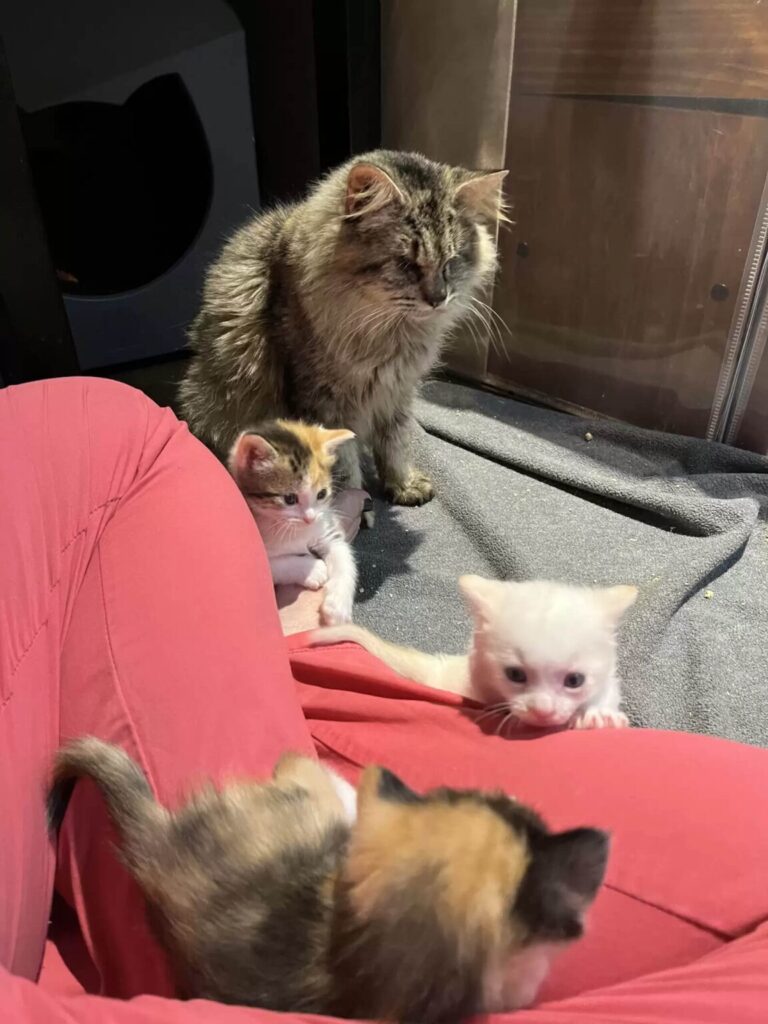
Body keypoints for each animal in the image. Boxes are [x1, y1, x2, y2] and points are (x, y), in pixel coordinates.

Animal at [178, 149, 507, 507]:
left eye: (451, 262)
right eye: (405, 264)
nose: (438, 299)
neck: (390, 334)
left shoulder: (397, 392)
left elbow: (395, 444)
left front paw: (402, 485)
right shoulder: (322, 399)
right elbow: (343, 468)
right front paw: (351, 508)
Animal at [309, 577, 638, 729]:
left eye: (575, 680)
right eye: (515, 674)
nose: (543, 712)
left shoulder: (609, 681)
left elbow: (606, 694)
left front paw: (597, 715)